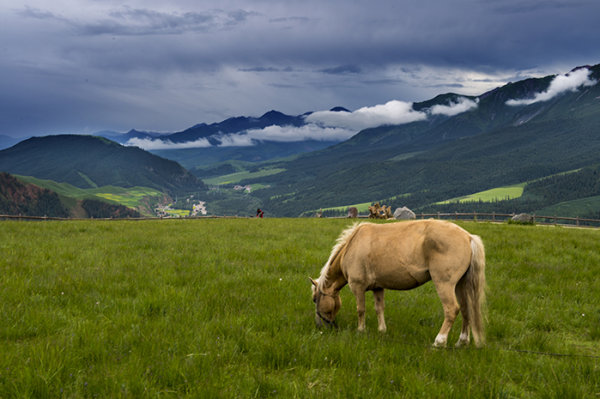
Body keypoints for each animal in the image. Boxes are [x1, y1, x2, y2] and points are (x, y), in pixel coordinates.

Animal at [312, 220, 486, 348]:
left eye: (315, 300)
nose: (320, 326)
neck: (353, 244)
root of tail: (468, 237)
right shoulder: (378, 287)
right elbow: (379, 308)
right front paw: (382, 330)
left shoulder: (357, 287)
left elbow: (360, 309)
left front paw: (361, 330)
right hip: (461, 285)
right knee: (465, 309)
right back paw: (462, 341)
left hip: (444, 284)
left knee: (452, 309)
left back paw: (439, 341)